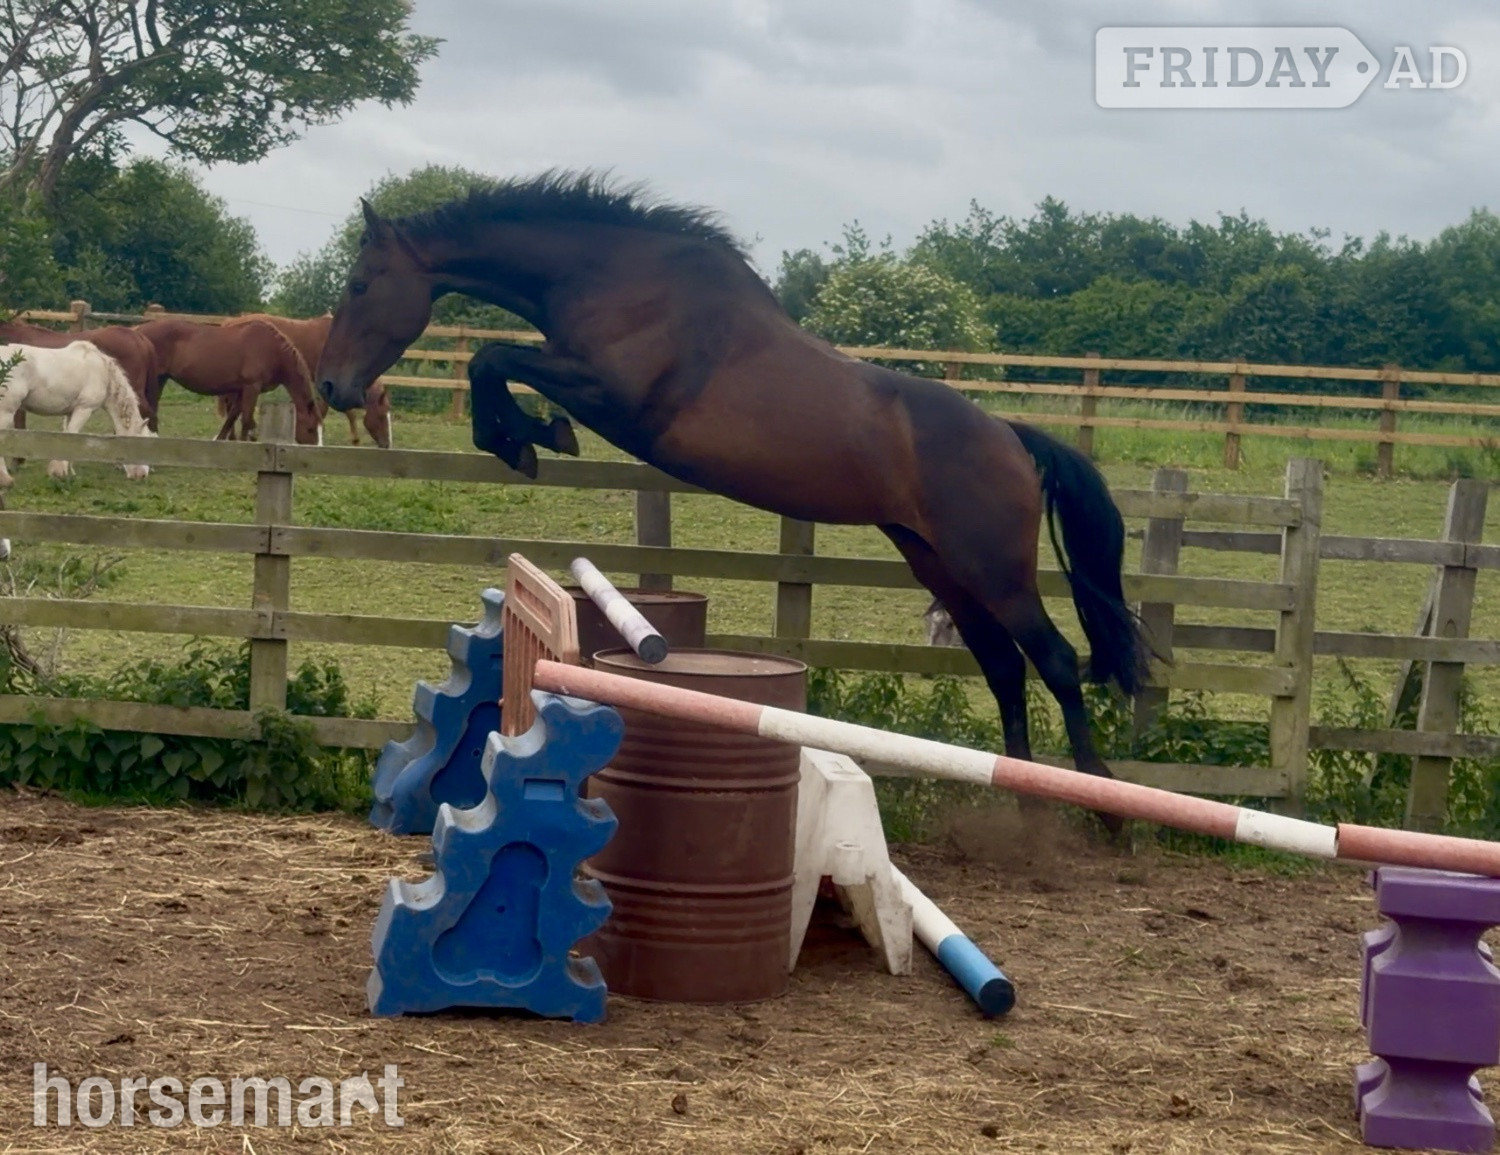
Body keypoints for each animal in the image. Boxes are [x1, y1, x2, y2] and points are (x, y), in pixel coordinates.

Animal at [0, 341, 156, 486]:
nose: (142, 475)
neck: (103, 373)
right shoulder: (84, 409)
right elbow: (72, 434)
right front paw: (59, 472)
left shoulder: (70, 412)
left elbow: (70, 437)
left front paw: (67, 472)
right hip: (6, 413)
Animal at [134, 317, 323, 445]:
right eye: (310, 428)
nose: (317, 448)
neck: (271, 350)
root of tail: (138, 331)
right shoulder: (251, 388)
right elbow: (246, 419)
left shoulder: (241, 390)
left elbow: (232, 416)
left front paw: (221, 439)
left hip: (159, 379)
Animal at [315, 172, 1151, 832]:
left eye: (359, 284)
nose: (331, 384)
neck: (614, 277)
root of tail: (1011, 437)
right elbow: (497, 360)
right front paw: (524, 436)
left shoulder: (613, 396)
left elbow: (493, 357)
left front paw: (526, 435)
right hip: (938, 565)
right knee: (1006, 668)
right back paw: (1029, 805)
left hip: (993, 570)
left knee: (1056, 660)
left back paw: (1100, 806)